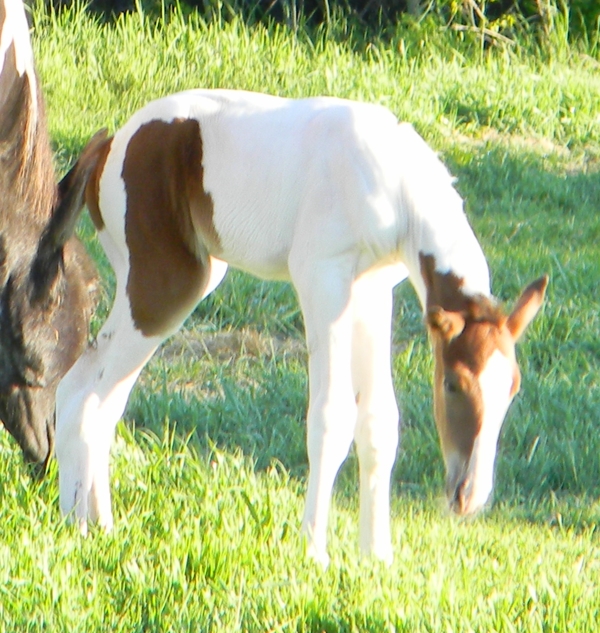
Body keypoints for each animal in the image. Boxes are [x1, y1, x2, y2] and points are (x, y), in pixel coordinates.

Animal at [55, 89, 547, 566]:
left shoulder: (373, 289)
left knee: (94, 395)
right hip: (164, 288)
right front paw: (314, 553)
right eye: (453, 385)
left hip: (165, 286)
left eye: (512, 389)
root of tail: (110, 146)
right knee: (85, 392)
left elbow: (379, 422)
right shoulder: (321, 278)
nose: (470, 495)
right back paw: (76, 525)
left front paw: (377, 557)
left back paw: (95, 522)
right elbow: (331, 418)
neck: (393, 184)